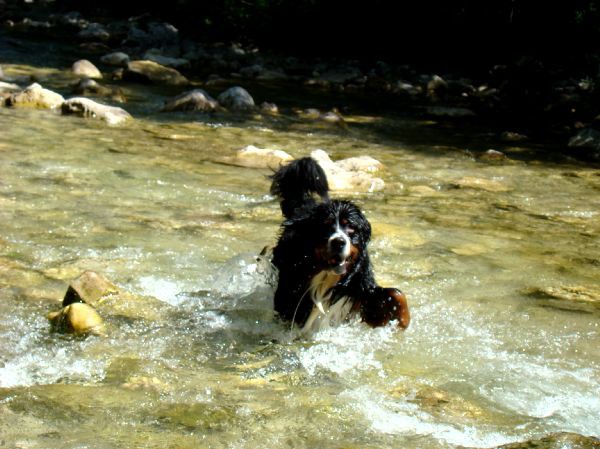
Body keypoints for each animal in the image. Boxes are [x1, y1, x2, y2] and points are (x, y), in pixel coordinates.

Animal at [270, 156, 410, 330]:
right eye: (325, 226)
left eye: (351, 228)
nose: (339, 242)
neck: (328, 277)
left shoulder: (360, 287)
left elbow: (396, 293)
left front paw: (403, 322)